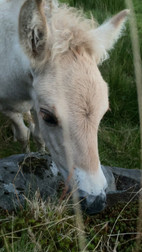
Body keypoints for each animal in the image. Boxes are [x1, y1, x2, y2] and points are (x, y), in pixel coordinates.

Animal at [0, 0, 129, 213]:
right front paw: (26, 157)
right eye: (49, 117)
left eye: (103, 113)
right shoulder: (8, 106)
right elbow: (23, 135)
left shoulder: (35, 99)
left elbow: (37, 134)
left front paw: (40, 154)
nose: (95, 201)